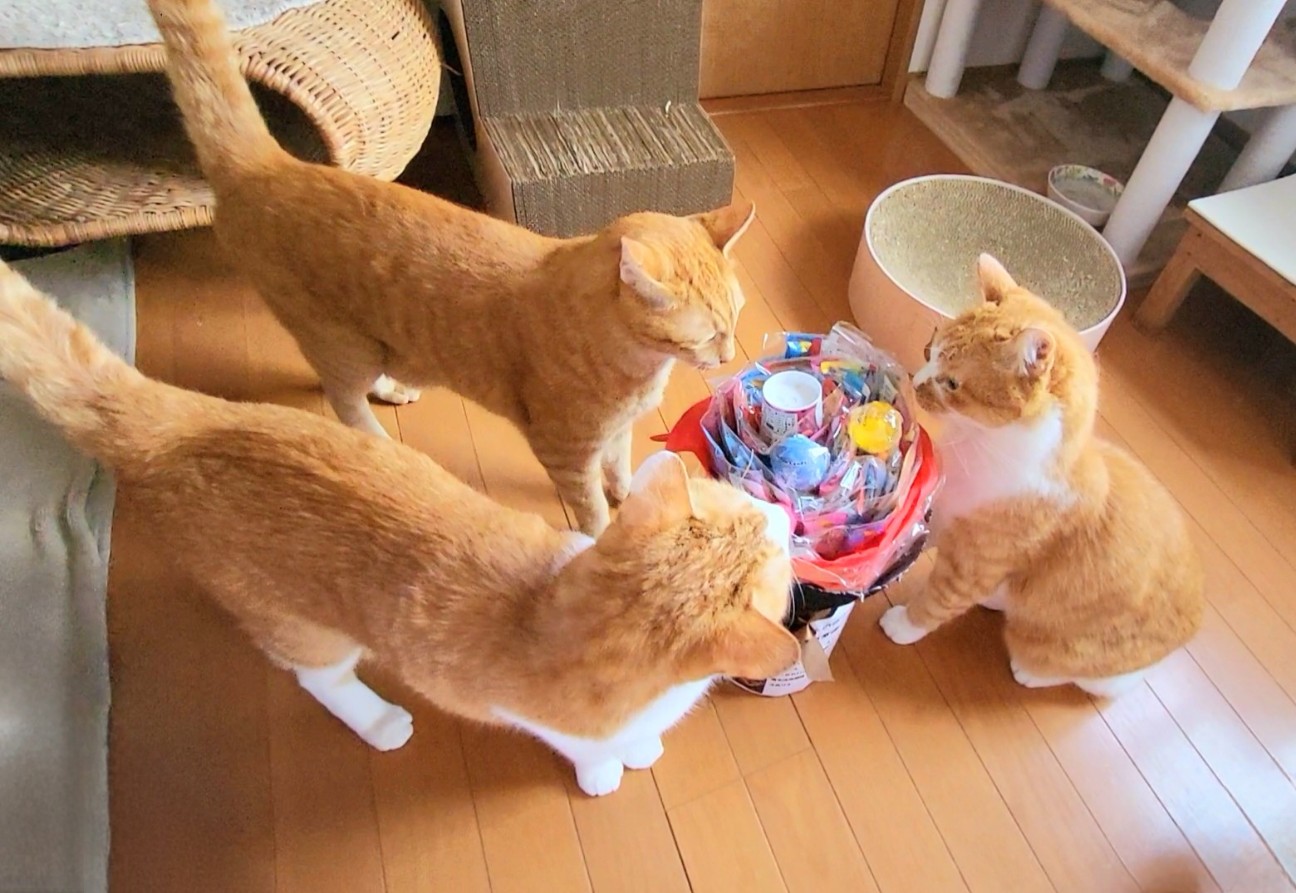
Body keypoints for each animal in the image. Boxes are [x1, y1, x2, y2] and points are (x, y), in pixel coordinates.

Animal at [0, 258, 797, 796]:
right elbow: (591, 752)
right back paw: (380, 722)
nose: (782, 511)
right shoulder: (548, 720)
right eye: (767, 535)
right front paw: (612, 769)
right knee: (319, 678)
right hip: (302, 625)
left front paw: (642, 749)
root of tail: (184, 421)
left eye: (745, 510)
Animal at [144, 0, 756, 537]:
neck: (638, 366)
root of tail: (271, 164)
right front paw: (603, 530)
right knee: (343, 399)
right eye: (708, 335)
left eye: (736, 320)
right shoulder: (563, 449)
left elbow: (620, 465)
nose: (729, 355)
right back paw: (376, 439)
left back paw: (393, 390)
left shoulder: (617, 434)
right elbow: (588, 503)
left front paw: (634, 493)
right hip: (342, 342)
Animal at [879, 254, 1203, 698]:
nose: (916, 379)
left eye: (952, 383)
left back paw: (1030, 671)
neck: (978, 445)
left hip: (1057, 652)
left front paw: (901, 625)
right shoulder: (943, 511)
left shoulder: (974, 566)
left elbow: (936, 602)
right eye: (930, 347)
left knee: (1085, 678)